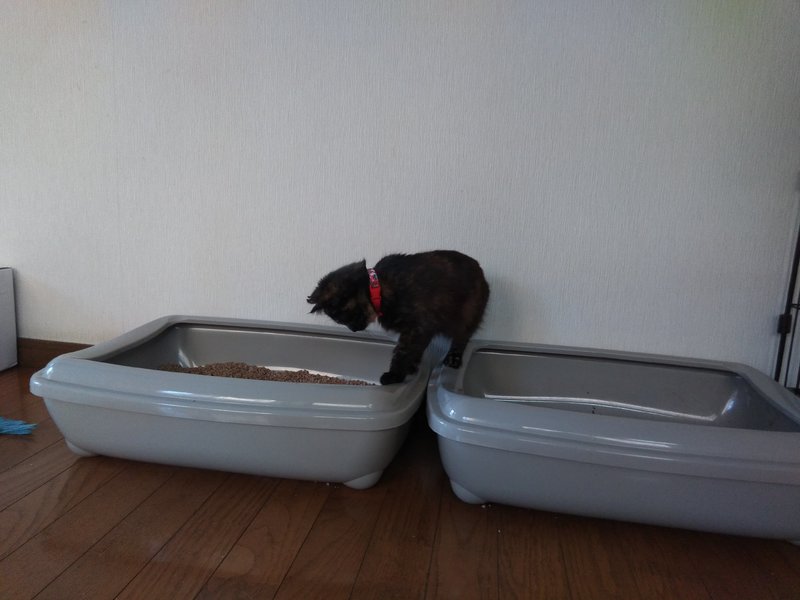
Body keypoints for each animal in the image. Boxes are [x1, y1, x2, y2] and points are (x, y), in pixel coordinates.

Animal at [307, 250, 490, 384]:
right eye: (339, 321)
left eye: (345, 316)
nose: (353, 330)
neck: (380, 289)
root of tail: (481, 271)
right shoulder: (422, 330)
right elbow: (416, 350)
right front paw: (410, 368)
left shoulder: (416, 328)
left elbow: (403, 352)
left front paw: (394, 375)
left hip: (466, 316)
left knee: (461, 338)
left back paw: (453, 359)